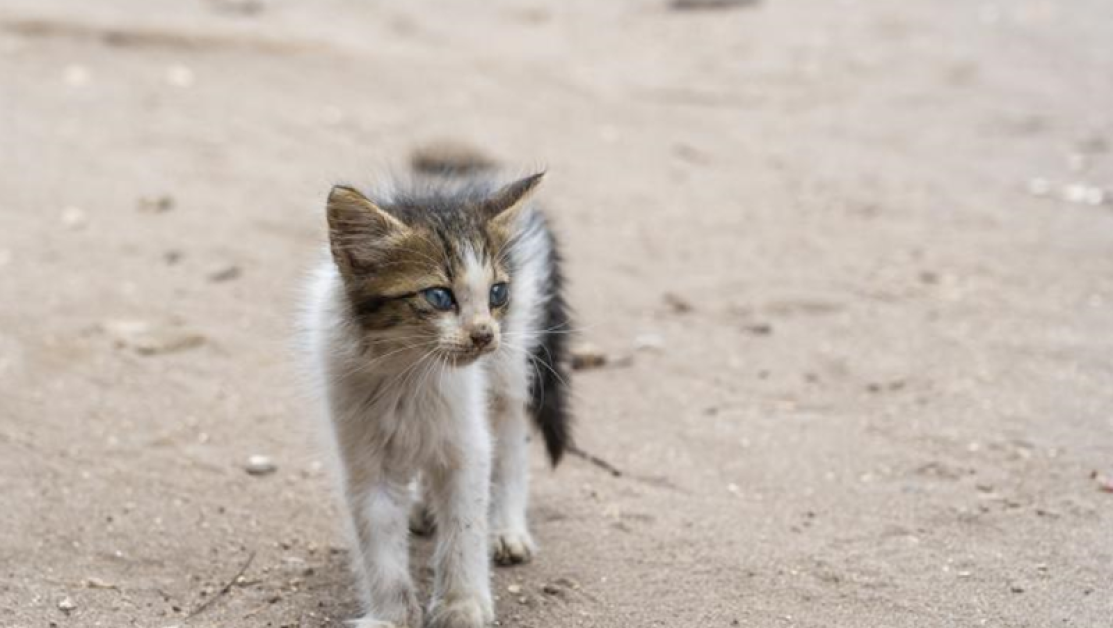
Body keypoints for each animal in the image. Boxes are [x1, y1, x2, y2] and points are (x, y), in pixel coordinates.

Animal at [300, 158, 569, 628]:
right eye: (439, 296)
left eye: (497, 292)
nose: (483, 335)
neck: (408, 372)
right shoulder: (364, 457)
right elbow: (379, 546)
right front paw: (390, 615)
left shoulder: (468, 442)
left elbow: (464, 527)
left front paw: (462, 605)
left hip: (509, 369)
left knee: (511, 443)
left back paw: (506, 527)